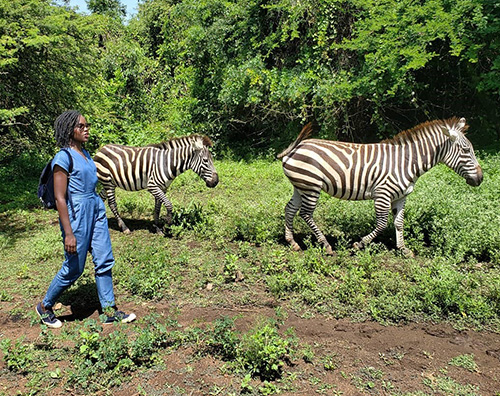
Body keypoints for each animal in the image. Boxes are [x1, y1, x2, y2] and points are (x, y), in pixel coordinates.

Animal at [280, 117, 482, 256]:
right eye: (466, 150)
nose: (480, 179)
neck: (407, 162)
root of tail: (296, 147)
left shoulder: (401, 196)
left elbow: (399, 223)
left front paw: (403, 249)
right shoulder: (383, 194)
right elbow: (382, 224)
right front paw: (359, 245)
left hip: (301, 186)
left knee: (290, 209)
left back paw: (292, 242)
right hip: (311, 186)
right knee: (306, 214)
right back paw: (327, 245)